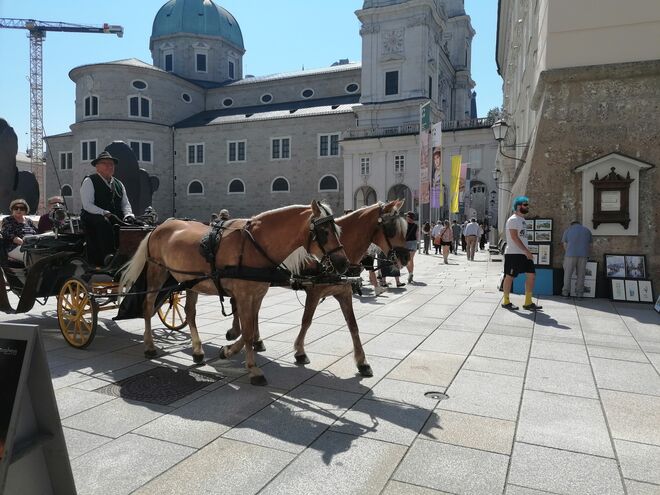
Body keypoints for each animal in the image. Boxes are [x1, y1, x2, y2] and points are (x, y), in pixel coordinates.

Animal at [118, 200, 348, 385]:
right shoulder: (244, 295)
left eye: (337, 230)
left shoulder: (257, 295)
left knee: (190, 313)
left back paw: (197, 351)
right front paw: (253, 369)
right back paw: (150, 346)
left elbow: (250, 329)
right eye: (324, 232)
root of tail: (159, 227)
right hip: (157, 271)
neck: (255, 245)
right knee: (148, 305)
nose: (343, 263)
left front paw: (228, 350)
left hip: (190, 280)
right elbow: (247, 331)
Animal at [225, 200, 408, 377]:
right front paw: (300, 352)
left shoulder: (344, 292)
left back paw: (254, 339)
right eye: (392, 229)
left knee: (251, 310)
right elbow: (306, 321)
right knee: (241, 305)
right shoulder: (314, 292)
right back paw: (238, 333)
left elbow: (353, 325)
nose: (406, 258)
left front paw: (362, 362)